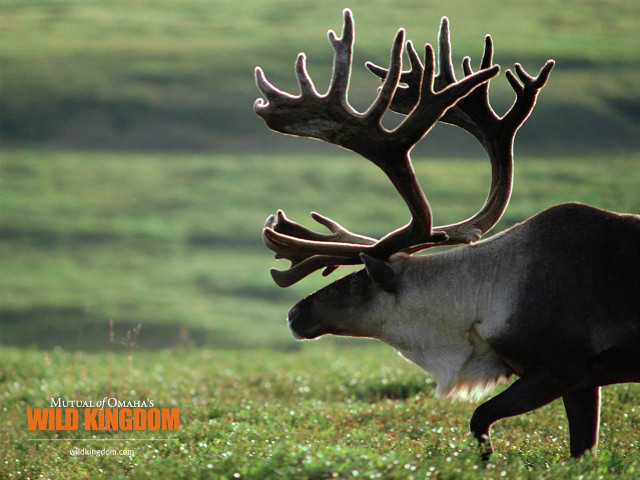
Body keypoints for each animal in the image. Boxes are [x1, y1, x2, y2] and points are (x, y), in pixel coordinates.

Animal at [254, 9, 640, 460]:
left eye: (356, 284)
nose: (295, 314)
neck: (485, 299)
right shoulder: (583, 381)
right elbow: (581, 448)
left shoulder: (561, 366)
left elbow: (479, 418)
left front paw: (486, 460)